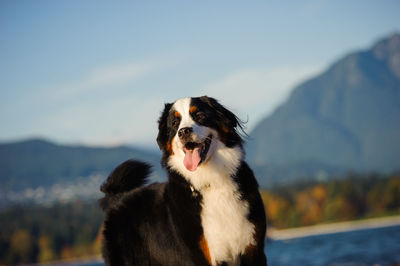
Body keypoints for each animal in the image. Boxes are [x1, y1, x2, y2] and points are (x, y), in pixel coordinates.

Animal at [100, 96, 268, 266]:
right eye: (175, 123)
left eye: (200, 115)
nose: (184, 131)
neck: (211, 181)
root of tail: (117, 198)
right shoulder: (199, 256)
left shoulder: (253, 250)